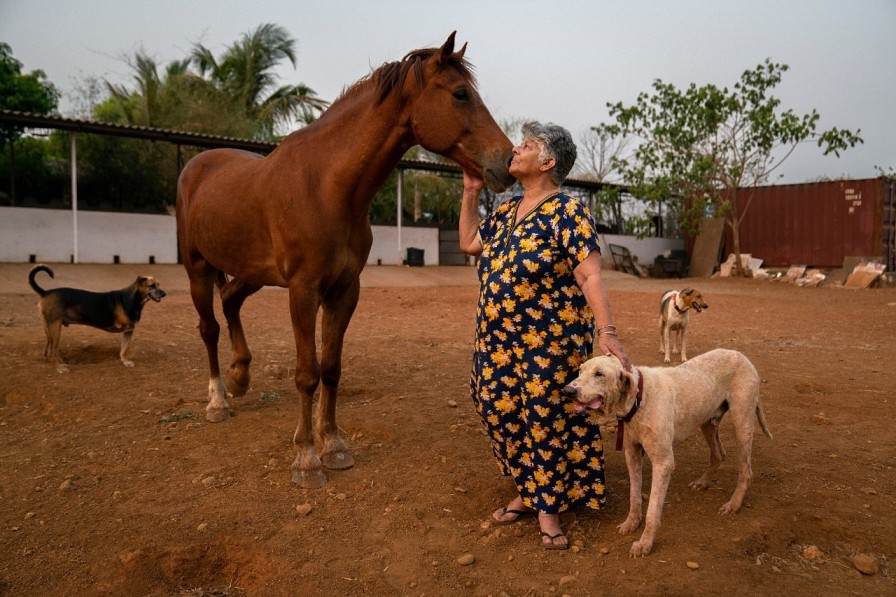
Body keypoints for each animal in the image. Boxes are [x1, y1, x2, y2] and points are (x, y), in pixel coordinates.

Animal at [28, 264, 166, 370]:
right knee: (52, 350)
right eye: (152, 286)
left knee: (48, 350)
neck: (133, 298)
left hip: (49, 327)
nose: (164, 293)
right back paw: (60, 367)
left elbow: (124, 349)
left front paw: (124, 361)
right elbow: (124, 348)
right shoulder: (126, 328)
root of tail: (45, 292)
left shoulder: (128, 331)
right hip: (55, 327)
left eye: (158, 284)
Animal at [177, 32, 512, 486]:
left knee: (229, 300)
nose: (508, 160)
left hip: (252, 272)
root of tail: (197, 165)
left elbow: (332, 368)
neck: (327, 186)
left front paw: (333, 445)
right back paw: (218, 401)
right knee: (209, 328)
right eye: (460, 94)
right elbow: (307, 373)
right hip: (198, 268)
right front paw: (305, 457)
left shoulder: (344, 290)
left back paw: (240, 376)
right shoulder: (302, 290)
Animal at [568, 346, 768, 556]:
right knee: (719, 454)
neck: (640, 399)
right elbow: (634, 495)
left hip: (742, 424)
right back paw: (703, 482)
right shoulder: (632, 454)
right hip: (707, 421)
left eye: (599, 374)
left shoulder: (663, 463)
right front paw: (632, 522)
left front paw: (645, 543)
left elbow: (653, 511)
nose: (568, 390)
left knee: (746, 471)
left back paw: (734, 504)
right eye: (580, 371)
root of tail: (740, 355)